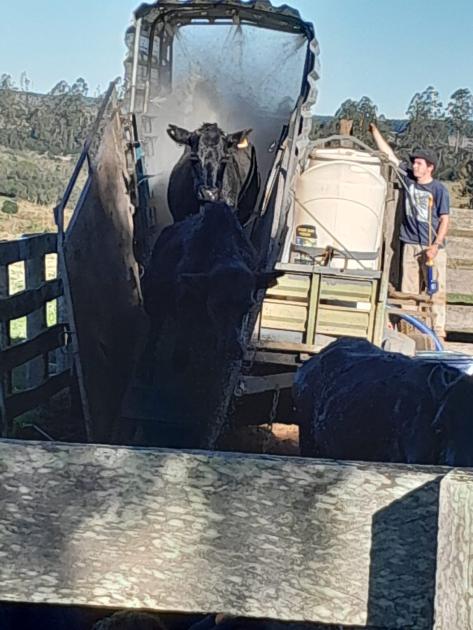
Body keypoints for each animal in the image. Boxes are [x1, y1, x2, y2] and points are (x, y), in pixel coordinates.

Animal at [142, 201, 278, 370]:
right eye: (215, 305)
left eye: (248, 306)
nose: (233, 350)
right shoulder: (184, 314)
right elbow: (180, 352)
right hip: (153, 302)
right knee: (154, 332)